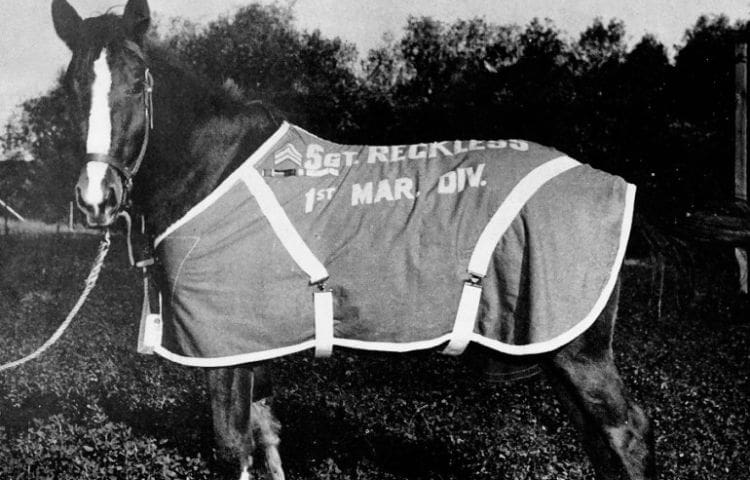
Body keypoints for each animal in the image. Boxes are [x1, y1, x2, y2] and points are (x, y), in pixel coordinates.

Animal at [51, 1, 654, 479]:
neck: (214, 168)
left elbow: (233, 448)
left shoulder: (224, 351)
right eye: (73, 88)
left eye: (137, 82)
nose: (96, 197)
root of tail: (610, 182)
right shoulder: (253, 345)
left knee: (625, 435)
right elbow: (267, 437)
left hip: (577, 351)